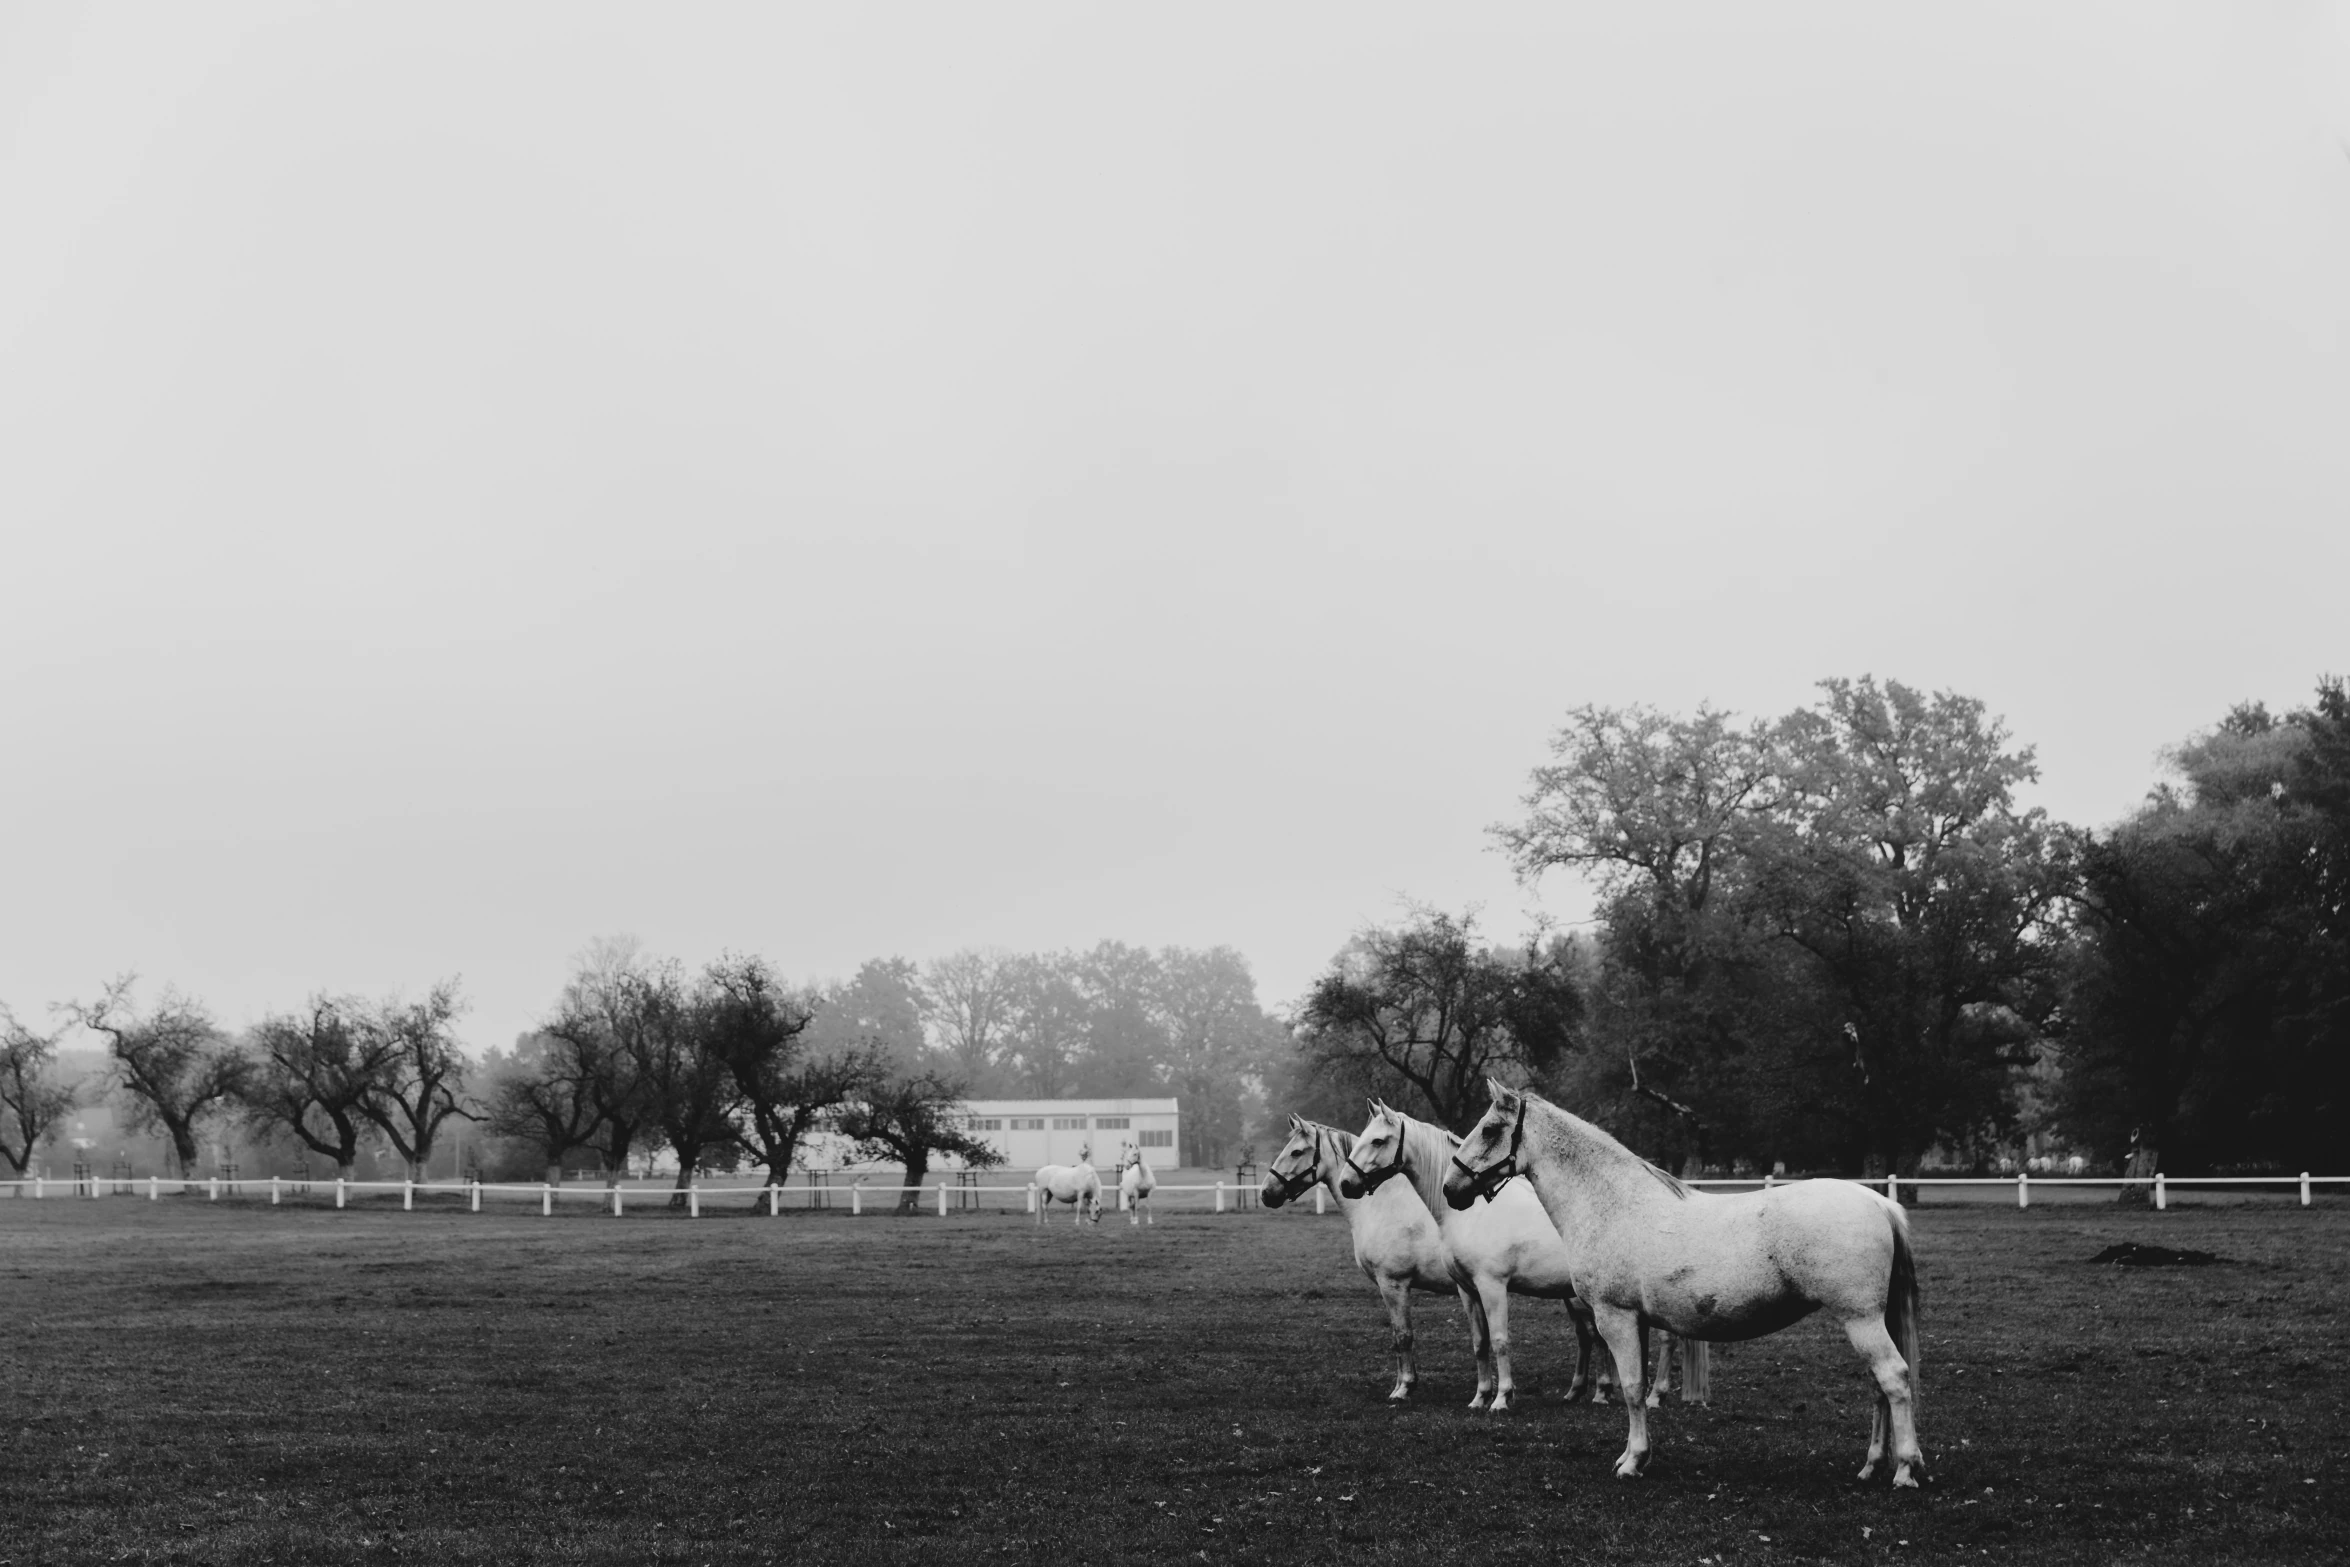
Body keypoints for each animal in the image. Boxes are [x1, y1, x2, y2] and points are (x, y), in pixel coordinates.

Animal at [1344, 1099, 1710, 1418]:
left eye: (1378, 1140)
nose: (1346, 1183)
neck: (1468, 1215)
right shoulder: (1468, 1290)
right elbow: (1480, 1342)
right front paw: (1480, 1396)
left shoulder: (1492, 1286)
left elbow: (1501, 1341)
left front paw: (1502, 1398)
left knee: (1666, 1339)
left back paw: (1654, 1396)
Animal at [1438, 1085, 1917, 1494]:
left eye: (1490, 1129)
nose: (1450, 1189)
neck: (1612, 1205)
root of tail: (1879, 1202)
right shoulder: (1638, 1321)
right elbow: (1637, 1388)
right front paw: (1634, 1456)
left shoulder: (1615, 1317)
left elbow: (1633, 1389)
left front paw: (1633, 1461)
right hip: (1867, 1321)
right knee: (1879, 1386)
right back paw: (1872, 1465)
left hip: (1860, 1318)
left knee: (1894, 1378)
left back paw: (1905, 1469)